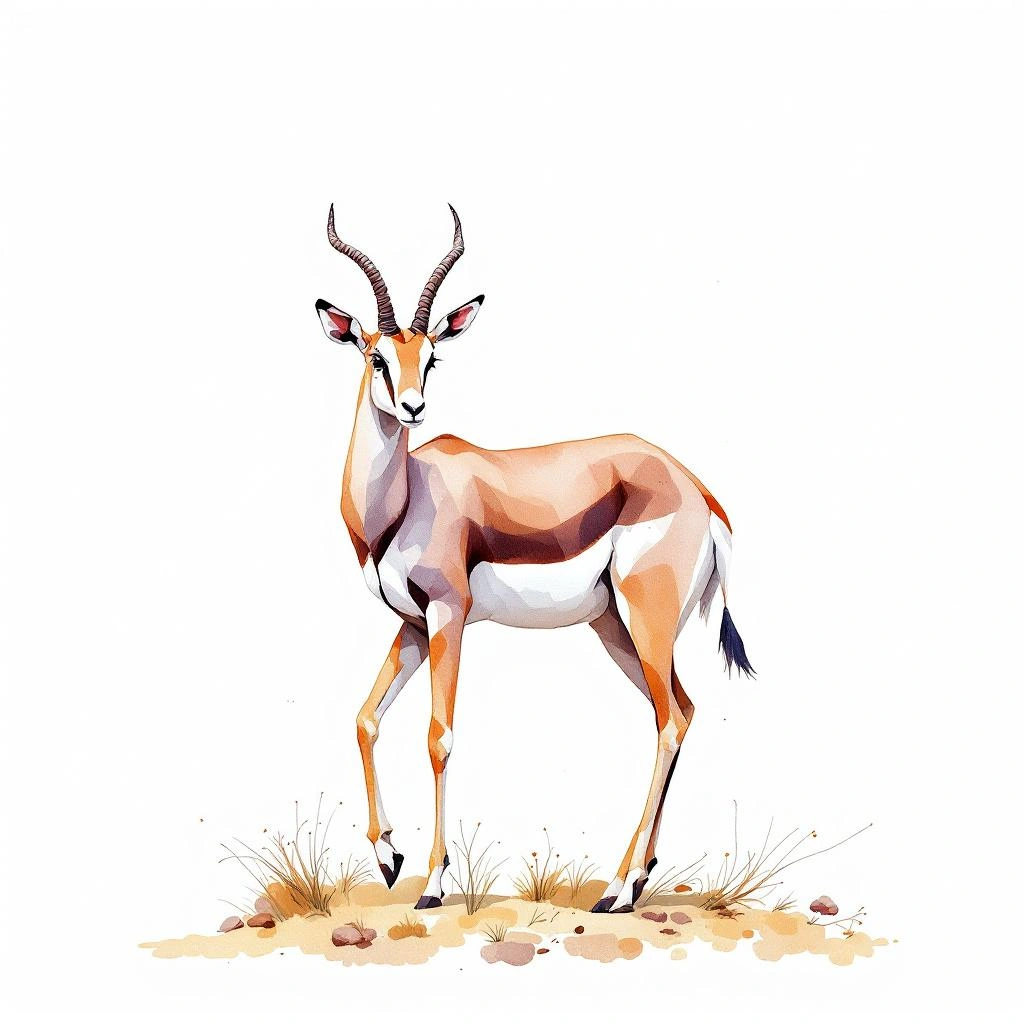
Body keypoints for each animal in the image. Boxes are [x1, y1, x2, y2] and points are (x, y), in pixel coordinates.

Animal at [316, 206, 755, 913]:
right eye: (378, 355)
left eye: (432, 357)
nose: (413, 406)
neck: (406, 496)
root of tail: (697, 489)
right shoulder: (411, 625)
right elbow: (364, 719)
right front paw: (388, 858)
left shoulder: (448, 616)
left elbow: (438, 735)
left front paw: (431, 883)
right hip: (615, 627)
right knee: (682, 711)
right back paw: (640, 875)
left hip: (645, 622)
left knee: (668, 723)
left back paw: (618, 890)